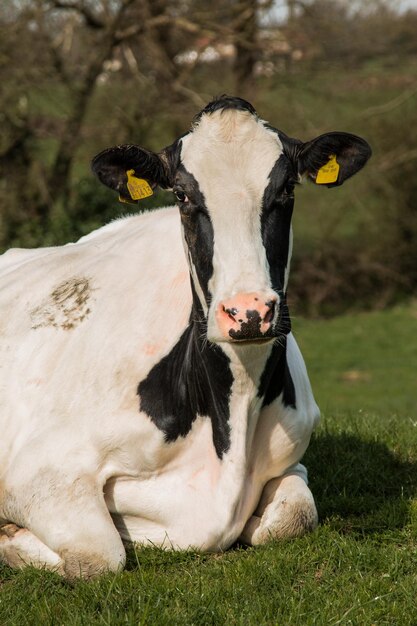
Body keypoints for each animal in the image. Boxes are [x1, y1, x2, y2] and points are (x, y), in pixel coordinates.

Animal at [0, 96, 370, 576]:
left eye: (287, 188)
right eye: (182, 194)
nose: (248, 311)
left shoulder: (293, 458)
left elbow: (295, 514)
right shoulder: (41, 471)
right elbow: (100, 555)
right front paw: (10, 539)